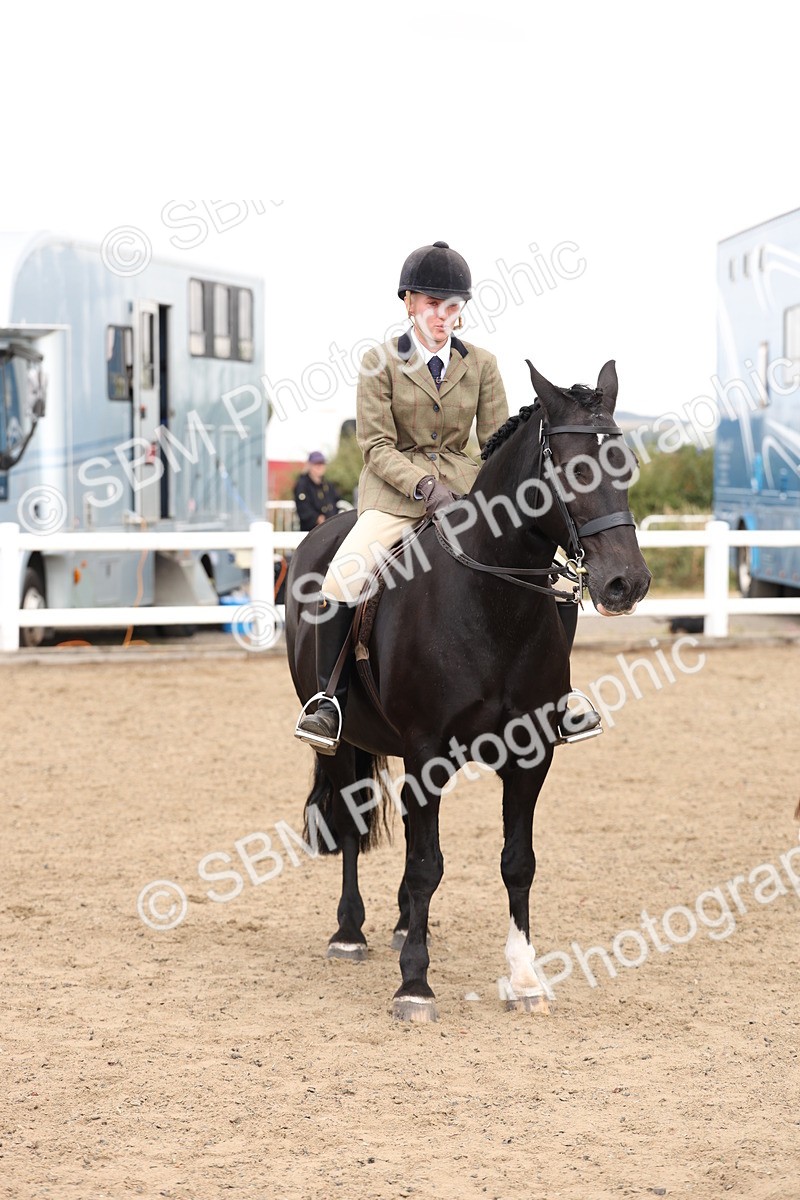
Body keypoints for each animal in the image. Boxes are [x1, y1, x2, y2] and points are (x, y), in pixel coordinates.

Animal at [285, 359, 651, 1022]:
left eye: (624, 464)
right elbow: (428, 863)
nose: (625, 583)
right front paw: (415, 985)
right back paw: (350, 932)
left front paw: (525, 979)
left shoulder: (530, 755)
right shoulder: (428, 752)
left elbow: (517, 863)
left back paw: (402, 923)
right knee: (352, 825)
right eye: (573, 466)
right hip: (346, 740)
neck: (490, 603)